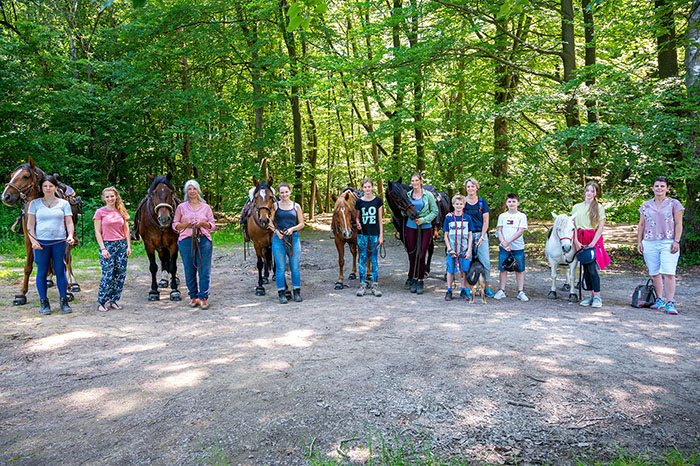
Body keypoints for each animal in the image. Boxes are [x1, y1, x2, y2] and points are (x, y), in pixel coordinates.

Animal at [1, 157, 81, 306]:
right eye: (12, 175)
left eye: (25, 176)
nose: (5, 197)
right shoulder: (29, 239)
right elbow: (28, 267)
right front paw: (22, 295)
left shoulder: (64, 239)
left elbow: (63, 264)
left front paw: (67, 292)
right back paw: (49, 279)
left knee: (68, 259)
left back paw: (73, 283)